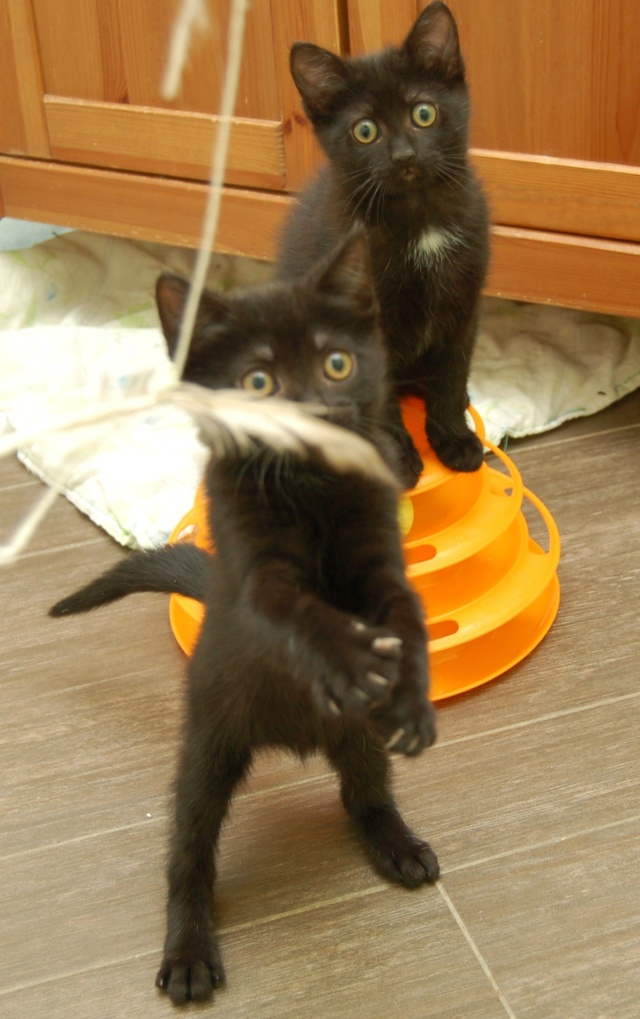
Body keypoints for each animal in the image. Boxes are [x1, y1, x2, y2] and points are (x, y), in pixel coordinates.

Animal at [49, 234, 440, 1006]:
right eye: (257, 382)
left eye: (336, 362)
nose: (312, 410)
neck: (313, 493)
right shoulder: (256, 577)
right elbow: (300, 613)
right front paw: (352, 662)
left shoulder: (383, 563)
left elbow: (405, 615)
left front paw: (408, 694)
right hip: (206, 748)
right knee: (188, 857)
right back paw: (189, 953)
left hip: (358, 743)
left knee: (362, 793)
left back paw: (398, 844)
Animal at [279, 0, 489, 485]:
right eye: (365, 130)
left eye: (423, 113)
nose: (404, 155)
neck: (419, 221)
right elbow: (381, 400)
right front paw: (398, 457)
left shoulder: (464, 303)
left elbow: (452, 372)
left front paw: (453, 438)